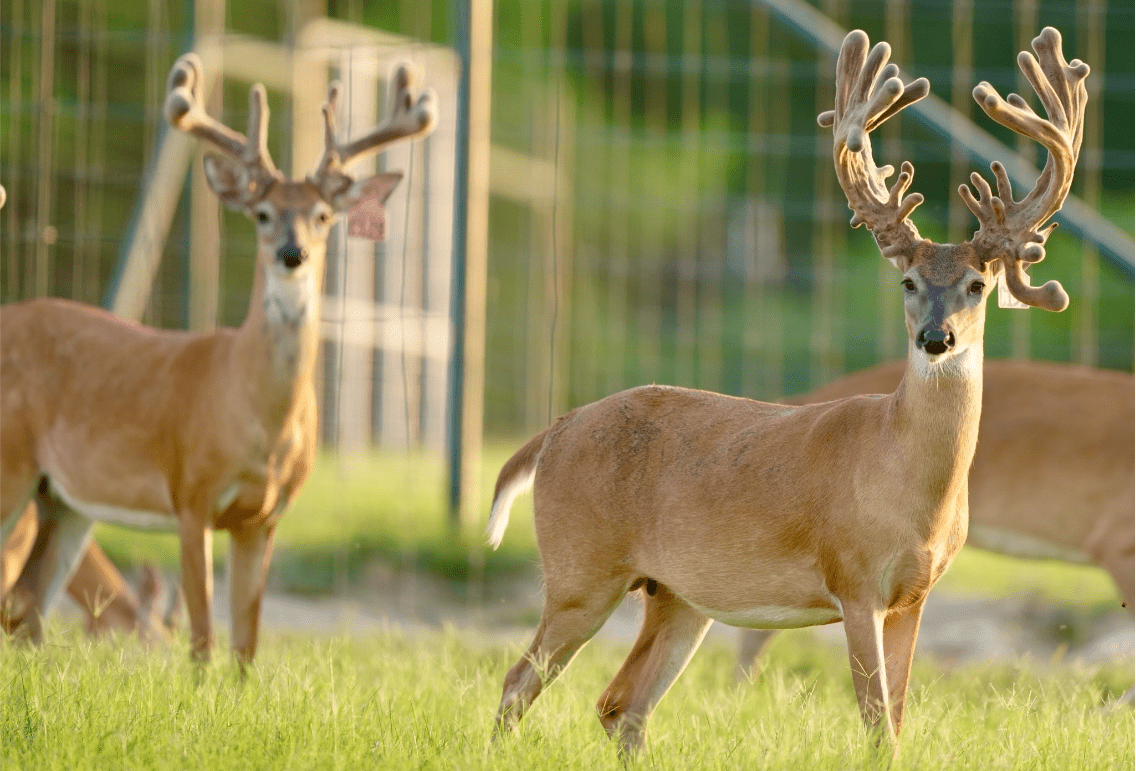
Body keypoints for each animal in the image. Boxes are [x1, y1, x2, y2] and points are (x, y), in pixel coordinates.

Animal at [0, 53, 436, 663]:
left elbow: (246, 645)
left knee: (29, 611)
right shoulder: (192, 494)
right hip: (11, 465)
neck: (258, 422)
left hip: (64, 500)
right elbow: (204, 639)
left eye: (324, 215)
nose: (292, 254)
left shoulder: (266, 517)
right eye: (261, 212)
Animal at [485, 27, 1087, 753]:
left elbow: (898, 720)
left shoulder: (914, 595)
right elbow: (876, 724)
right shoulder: (854, 580)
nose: (936, 339)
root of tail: (557, 428)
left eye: (977, 284)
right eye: (908, 281)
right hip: (581, 569)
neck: (913, 486)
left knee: (621, 703)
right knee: (519, 682)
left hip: (678, 594)